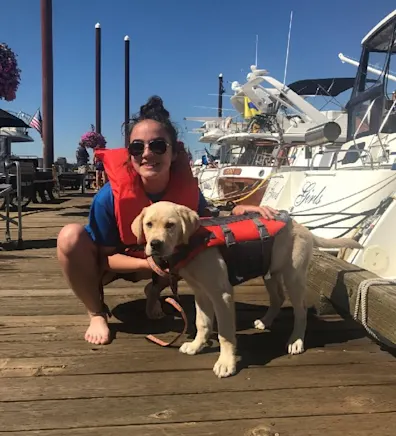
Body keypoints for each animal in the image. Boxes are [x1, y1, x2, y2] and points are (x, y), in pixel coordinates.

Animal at [132, 201, 362, 378]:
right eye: (148, 224)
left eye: (170, 225)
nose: (155, 244)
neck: (193, 243)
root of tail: (302, 227)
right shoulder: (201, 293)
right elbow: (202, 323)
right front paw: (197, 346)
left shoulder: (221, 294)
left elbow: (225, 334)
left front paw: (226, 363)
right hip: (269, 270)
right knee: (278, 298)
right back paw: (266, 321)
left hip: (293, 277)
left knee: (301, 311)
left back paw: (296, 341)